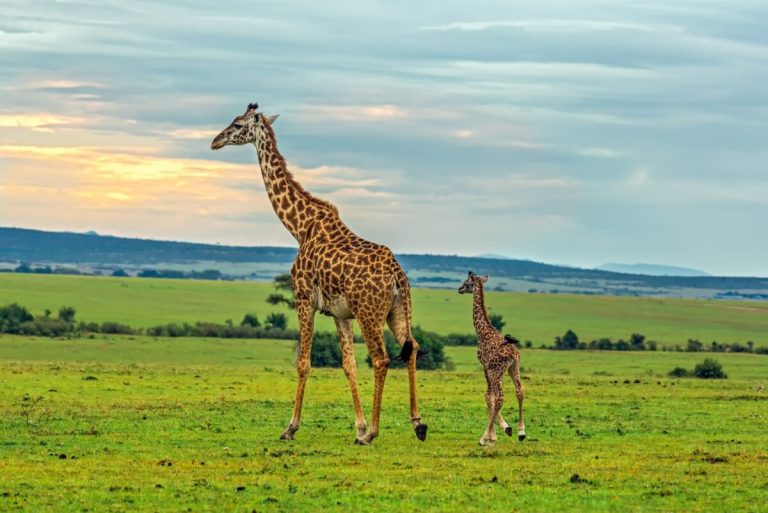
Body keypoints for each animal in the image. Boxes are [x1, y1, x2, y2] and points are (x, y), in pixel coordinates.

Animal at [211, 102, 427, 445]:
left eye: (237, 124)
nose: (215, 141)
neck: (300, 226)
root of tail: (398, 276)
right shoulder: (340, 313)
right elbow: (348, 365)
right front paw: (358, 426)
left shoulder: (303, 299)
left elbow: (303, 363)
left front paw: (290, 427)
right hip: (397, 311)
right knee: (413, 348)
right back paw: (417, 424)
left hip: (370, 313)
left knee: (381, 358)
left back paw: (374, 433)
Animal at [458, 271, 526, 446]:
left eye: (466, 283)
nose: (459, 289)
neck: (482, 330)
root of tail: (513, 354)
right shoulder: (491, 369)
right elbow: (491, 397)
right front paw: (505, 429)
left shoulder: (485, 366)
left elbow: (489, 397)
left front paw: (491, 436)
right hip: (514, 368)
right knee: (520, 390)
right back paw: (521, 432)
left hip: (497, 371)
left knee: (501, 396)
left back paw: (483, 438)